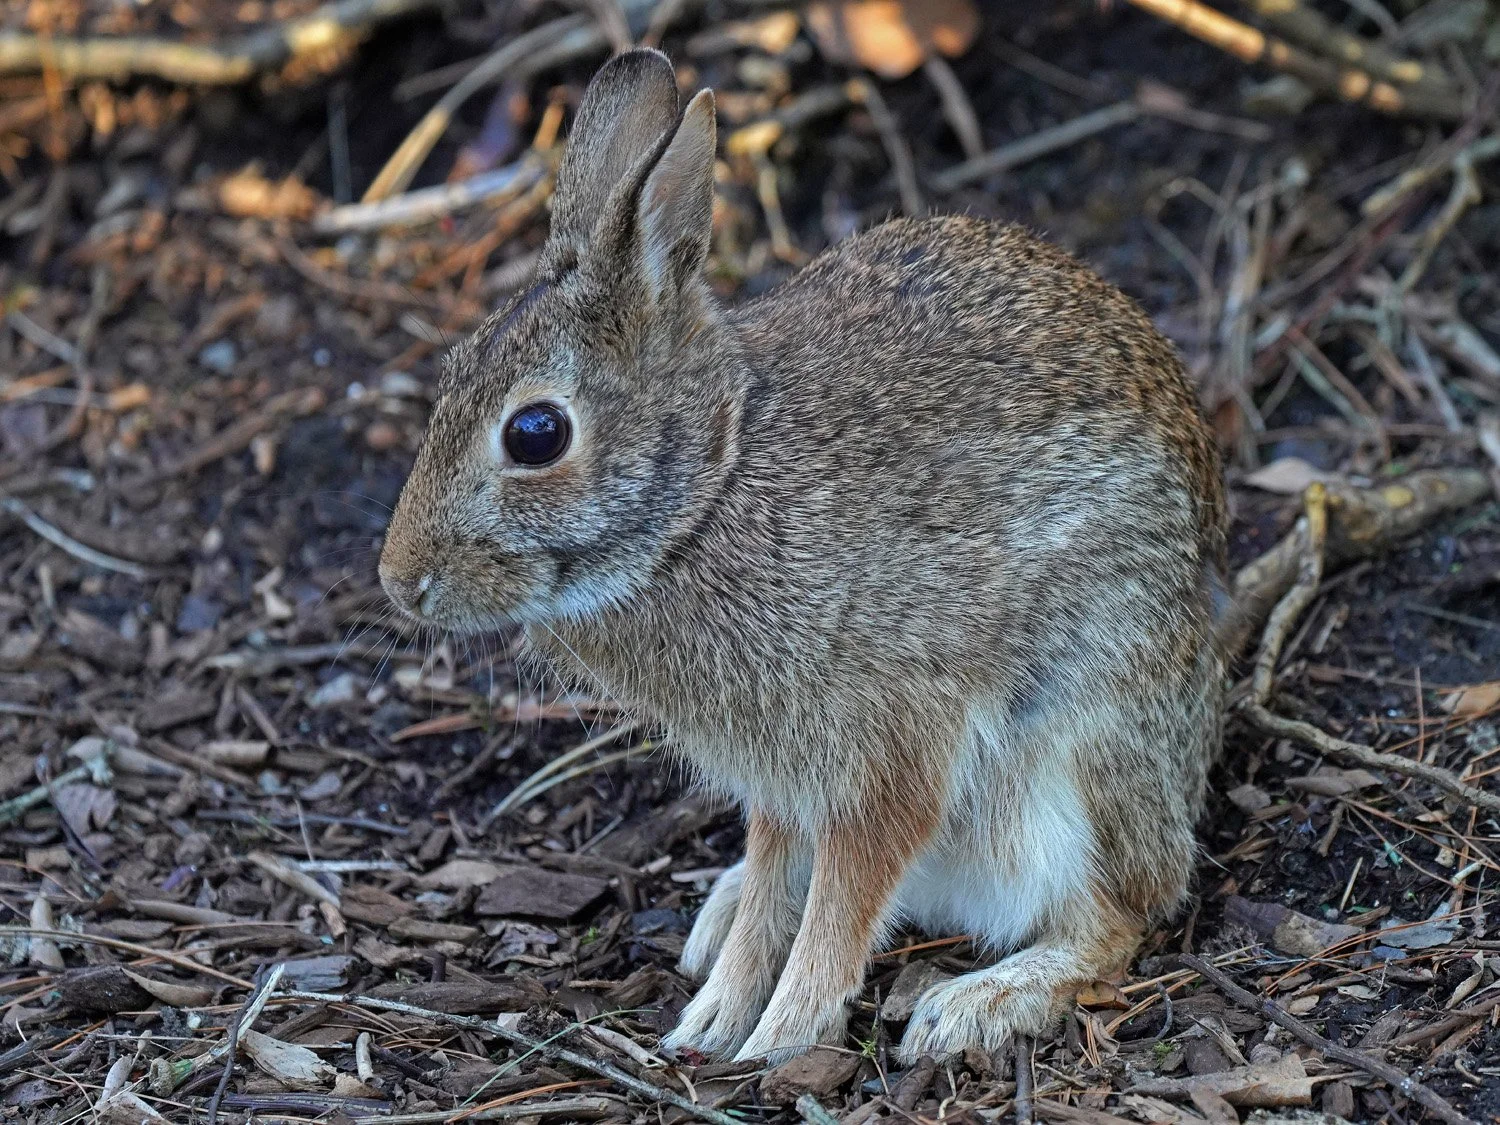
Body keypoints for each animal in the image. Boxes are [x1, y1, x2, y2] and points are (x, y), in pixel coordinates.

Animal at [379, 47, 1228, 1065]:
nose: (401, 581)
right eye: (453, 371)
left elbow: (848, 892)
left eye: (536, 433)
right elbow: (782, 871)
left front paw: (778, 1036)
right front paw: (716, 1018)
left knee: (1114, 920)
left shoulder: (891, 744)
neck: (709, 492)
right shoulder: (781, 776)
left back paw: (973, 1004)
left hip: (1062, 768)